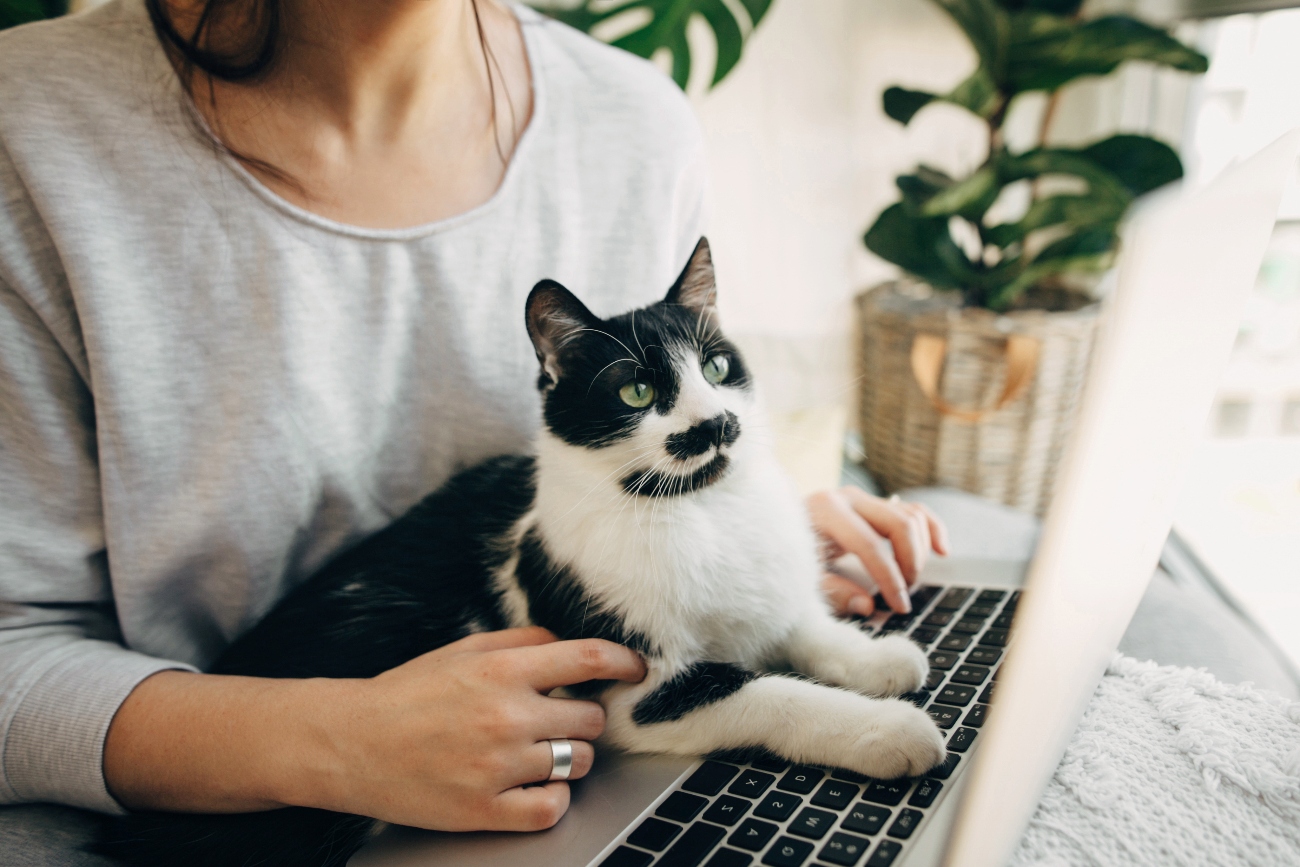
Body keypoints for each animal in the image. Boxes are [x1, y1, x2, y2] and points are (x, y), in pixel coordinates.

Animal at [96, 239, 941, 867]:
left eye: (718, 367)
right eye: (637, 392)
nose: (718, 423)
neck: (698, 507)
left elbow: (798, 624)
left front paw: (878, 658)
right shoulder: (635, 692)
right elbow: (766, 691)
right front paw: (889, 730)